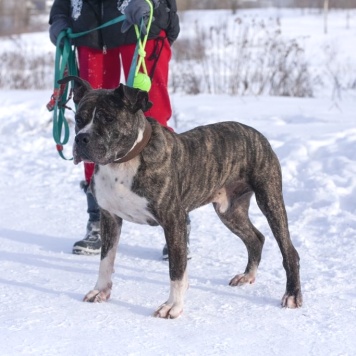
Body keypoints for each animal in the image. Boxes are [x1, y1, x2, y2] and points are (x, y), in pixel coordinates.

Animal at [59, 76, 304, 320]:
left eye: (109, 118)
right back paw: (247, 276)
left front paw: (173, 305)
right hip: (230, 211)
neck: (124, 161)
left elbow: (176, 269)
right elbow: (106, 260)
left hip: (269, 199)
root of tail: (257, 134)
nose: (81, 138)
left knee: (288, 250)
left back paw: (292, 294)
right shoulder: (110, 217)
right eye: (79, 119)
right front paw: (100, 290)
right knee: (255, 238)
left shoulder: (173, 221)